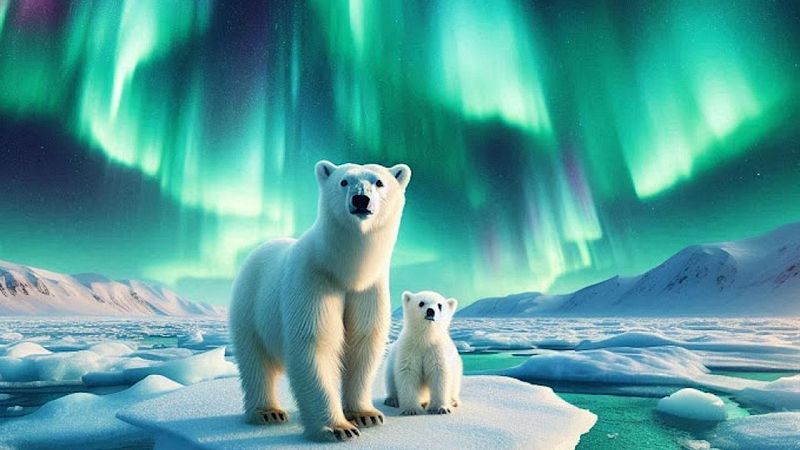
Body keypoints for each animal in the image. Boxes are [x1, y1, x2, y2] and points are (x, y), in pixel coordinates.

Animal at [229, 160, 411, 441]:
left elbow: (364, 342)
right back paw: (267, 412)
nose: (361, 199)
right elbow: (315, 343)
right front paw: (339, 429)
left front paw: (367, 415)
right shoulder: (314, 281)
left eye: (379, 182)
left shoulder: (369, 290)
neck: (345, 272)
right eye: (343, 181)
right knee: (255, 360)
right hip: (249, 305)